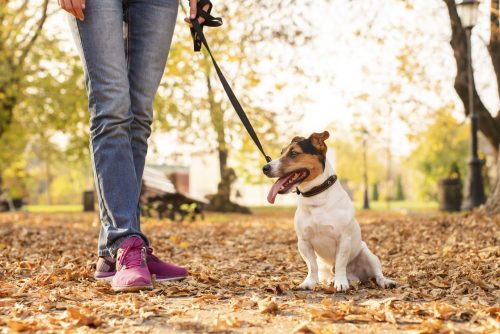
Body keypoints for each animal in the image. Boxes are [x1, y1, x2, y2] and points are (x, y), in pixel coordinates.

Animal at [264, 132, 396, 290]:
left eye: (294, 153)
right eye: (281, 152)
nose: (265, 168)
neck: (317, 197)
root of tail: (355, 276)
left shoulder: (343, 239)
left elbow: (340, 263)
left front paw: (340, 282)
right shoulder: (303, 242)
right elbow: (311, 266)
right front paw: (309, 282)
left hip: (368, 255)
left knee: (377, 273)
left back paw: (383, 281)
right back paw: (332, 281)